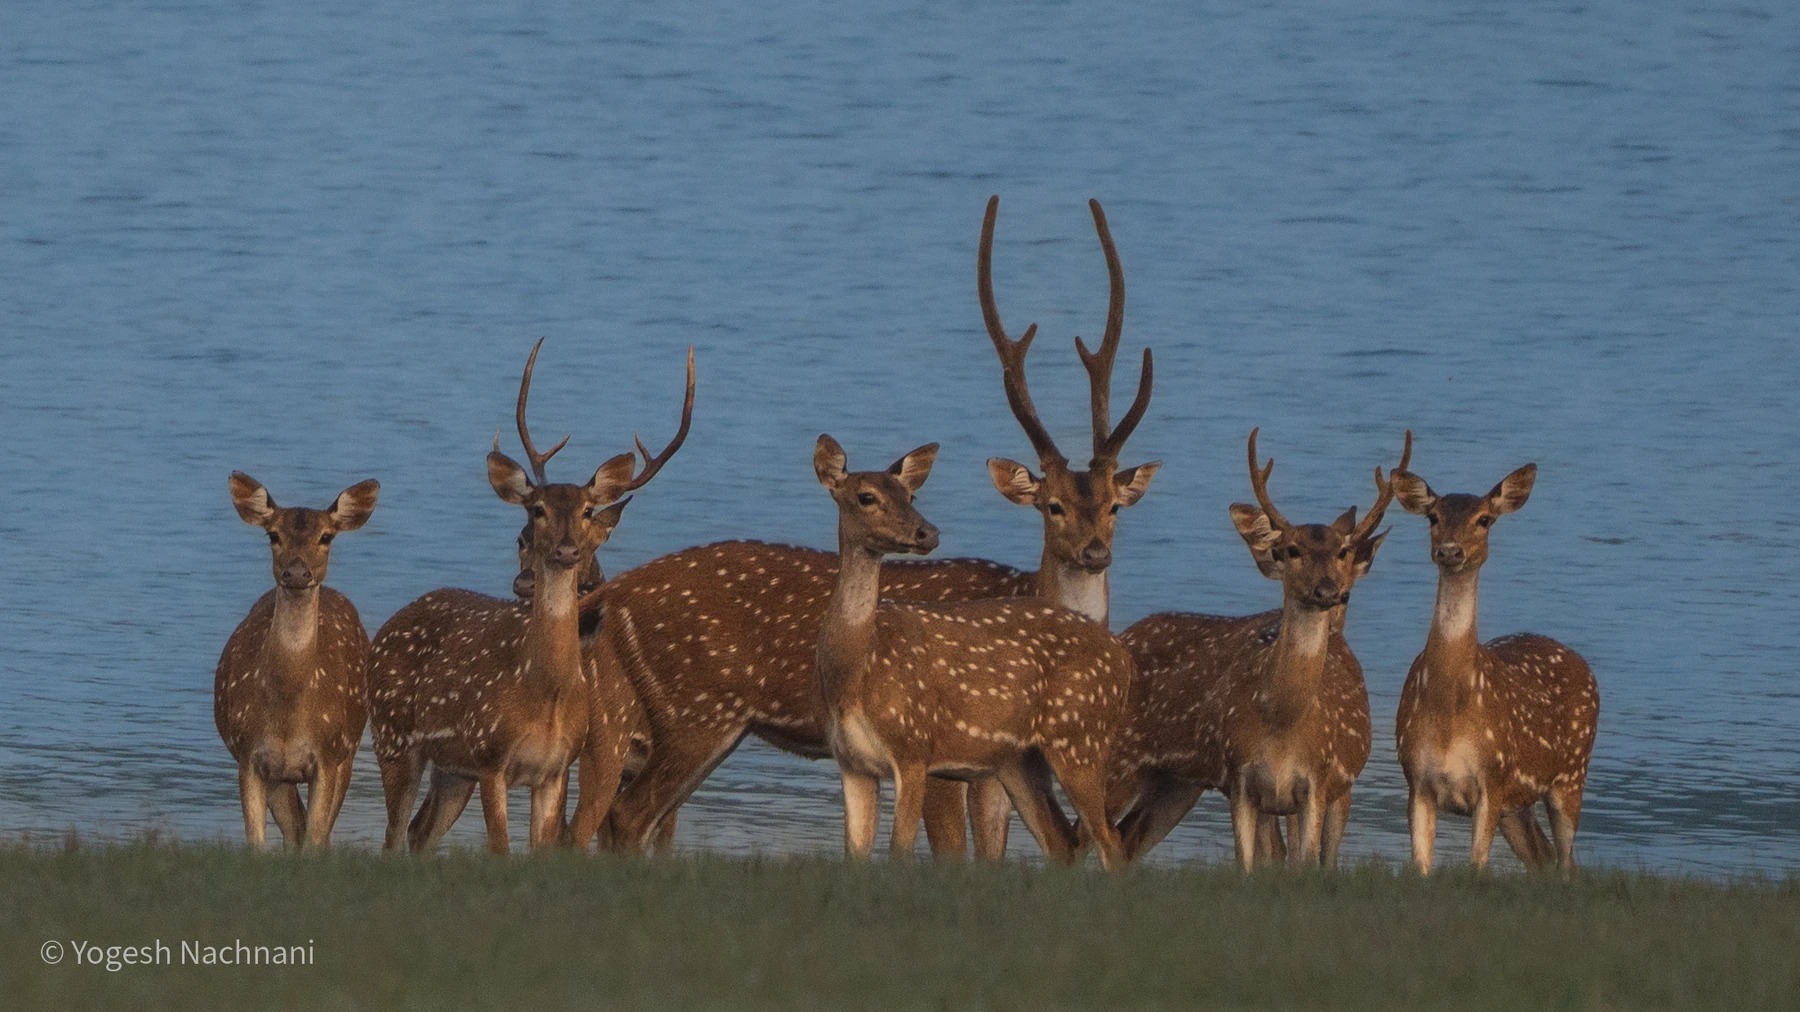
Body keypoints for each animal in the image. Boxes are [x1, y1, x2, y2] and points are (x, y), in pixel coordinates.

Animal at [215, 472, 379, 849]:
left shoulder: (330, 755)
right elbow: (258, 843)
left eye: (327, 536)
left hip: (350, 749)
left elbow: (315, 840)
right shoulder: (248, 755)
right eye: (273, 535)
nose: (297, 573)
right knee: (294, 830)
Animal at [366, 339, 692, 855]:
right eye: (532, 515)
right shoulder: (495, 756)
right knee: (395, 835)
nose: (562, 553)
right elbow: (511, 847)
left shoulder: (562, 767)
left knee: (419, 830)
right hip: (396, 736)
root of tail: (384, 628)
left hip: (454, 768)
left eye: (586, 511)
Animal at [813, 435, 1133, 868]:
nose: (927, 533)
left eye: (911, 494)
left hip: (1081, 736)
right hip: (1019, 760)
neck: (856, 665)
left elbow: (900, 850)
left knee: (1110, 841)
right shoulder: (851, 763)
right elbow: (854, 854)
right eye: (866, 496)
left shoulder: (915, 746)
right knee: (1060, 840)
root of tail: (1124, 657)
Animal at [1105, 430, 1408, 869]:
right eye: (1291, 549)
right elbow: (1253, 861)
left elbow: (1304, 860)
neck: (1281, 722)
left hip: (1175, 782)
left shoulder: (1319, 785)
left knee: (1121, 839)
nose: (1328, 591)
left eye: (1343, 553)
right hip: (1119, 756)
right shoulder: (1242, 782)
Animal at [1390, 451, 1599, 876]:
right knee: (1542, 857)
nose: (1450, 551)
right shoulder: (1416, 778)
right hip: (1517, 806)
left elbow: (1477, 865)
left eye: (1484, 519)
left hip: (1571, 773)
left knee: (1567, 863)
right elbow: (1420, 866)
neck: (1450, 711)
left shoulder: (1494, 778)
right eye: (1433, 516)